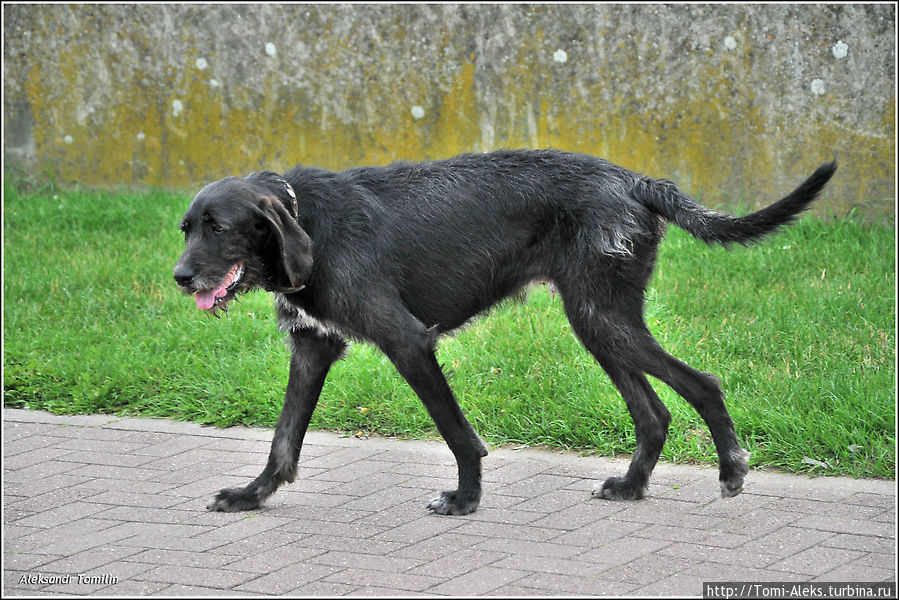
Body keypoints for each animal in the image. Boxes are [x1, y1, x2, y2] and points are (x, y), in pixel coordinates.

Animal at [174, 149, 836, 516]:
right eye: (186, 227)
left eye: (219, 227)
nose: (180, 277)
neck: (305, 220)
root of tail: (633, 180)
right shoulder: (313, 349)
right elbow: (283, 441)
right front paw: (252, 495)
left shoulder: (408, 342)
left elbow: (457, 434)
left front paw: (465, 499)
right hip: (598, 322)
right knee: (654, 412)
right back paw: (630, 486)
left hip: (603, 319)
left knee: (702, 384)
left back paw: (730, 470)